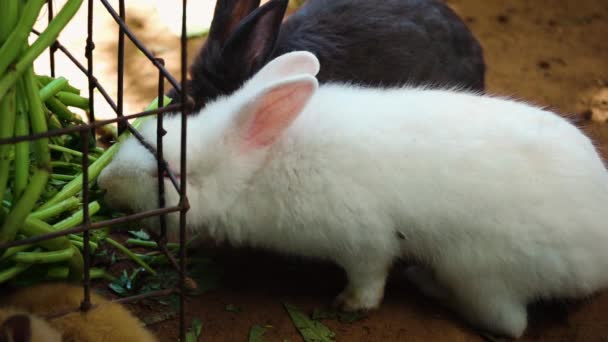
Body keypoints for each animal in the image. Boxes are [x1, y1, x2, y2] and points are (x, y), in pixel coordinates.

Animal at [97, 52, 608, 338]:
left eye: (168, 170)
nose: (105, 182)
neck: (260, 166)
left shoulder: (362, 241)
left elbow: (369, 278)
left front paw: (349, 305)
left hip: (480, 272)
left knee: (508, 323)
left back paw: (428, 284)